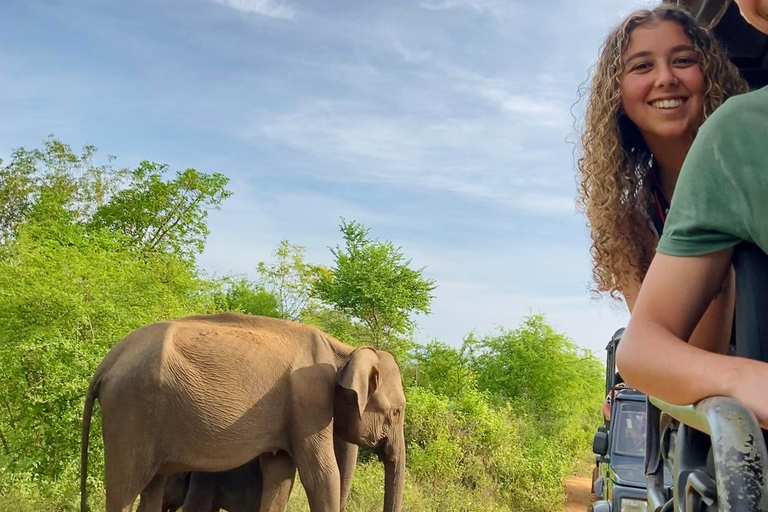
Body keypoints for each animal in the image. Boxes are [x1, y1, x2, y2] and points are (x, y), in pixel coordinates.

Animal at [79, 312, 408, 512]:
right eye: (397, 413)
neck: (343, 350)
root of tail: (108, 361)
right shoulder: (309, 398)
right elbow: (321, 474)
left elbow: (280, 474)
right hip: (132, 409)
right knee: (125, 486)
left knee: (152, 485)